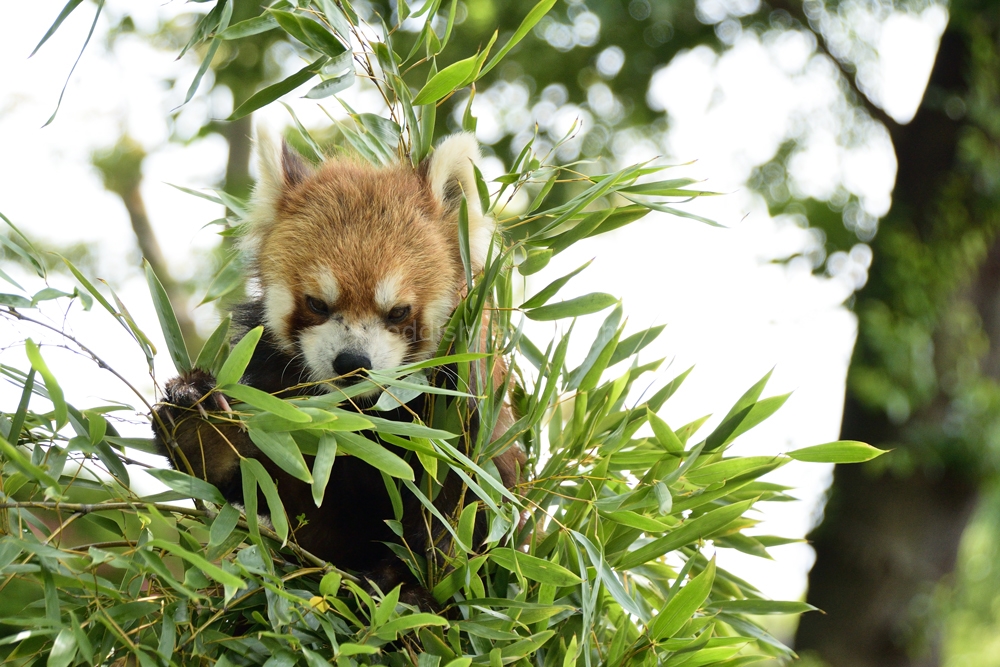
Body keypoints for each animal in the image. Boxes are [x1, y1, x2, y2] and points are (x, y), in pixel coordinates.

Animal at [154, 130, 524, 604]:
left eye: (398, 311)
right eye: (317, 304)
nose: (352, 362)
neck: (363, 413)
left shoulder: (465, 408)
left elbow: (468, 508)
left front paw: (408, 581)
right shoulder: (279, 396)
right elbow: (285, 494)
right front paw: (202, 431)